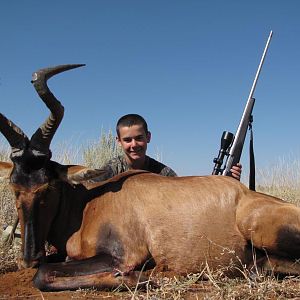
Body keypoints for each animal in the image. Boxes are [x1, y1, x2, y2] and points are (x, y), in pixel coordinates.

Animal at [0, 65, 300, 290]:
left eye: (48, 186)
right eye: (14, 186)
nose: (29, 258)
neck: (88, 204)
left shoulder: (121, 256)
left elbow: (44, 274)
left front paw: (138, 278)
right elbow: (48, 267)